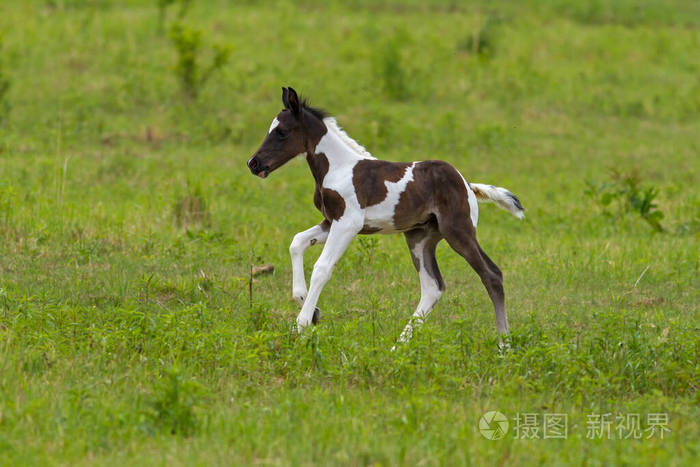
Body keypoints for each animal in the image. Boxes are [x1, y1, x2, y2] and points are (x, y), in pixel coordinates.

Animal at [249, 88, 524, 348]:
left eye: (282, 132)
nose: (253, 163)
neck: (337, 168)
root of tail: (467, 184)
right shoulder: (331, 222)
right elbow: (296, 242)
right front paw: (310, 307)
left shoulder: (348, 224)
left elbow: (322, 268)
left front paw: (302, 325)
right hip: (420, 237)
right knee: (432, 287)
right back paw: (398, 347)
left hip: (458, 231)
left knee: (492, 274)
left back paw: (504, 344)